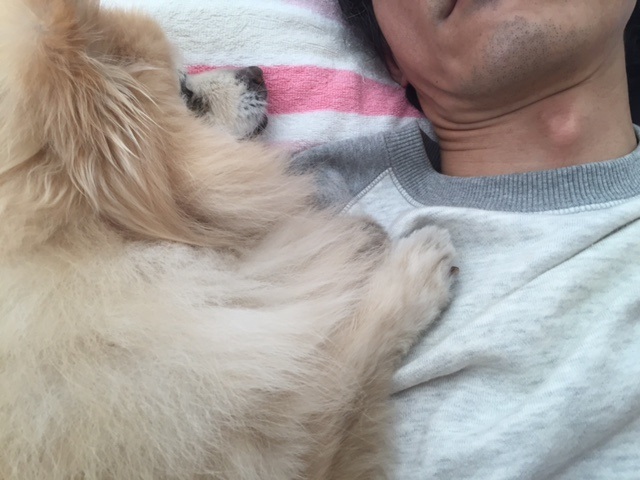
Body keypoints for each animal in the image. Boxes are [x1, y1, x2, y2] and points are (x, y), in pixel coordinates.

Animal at [0, 1, 456, 478]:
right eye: (185, 93)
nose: (256, 71)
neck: (93, 235)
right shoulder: (280, 443)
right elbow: (350, 362)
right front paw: (415, 267)